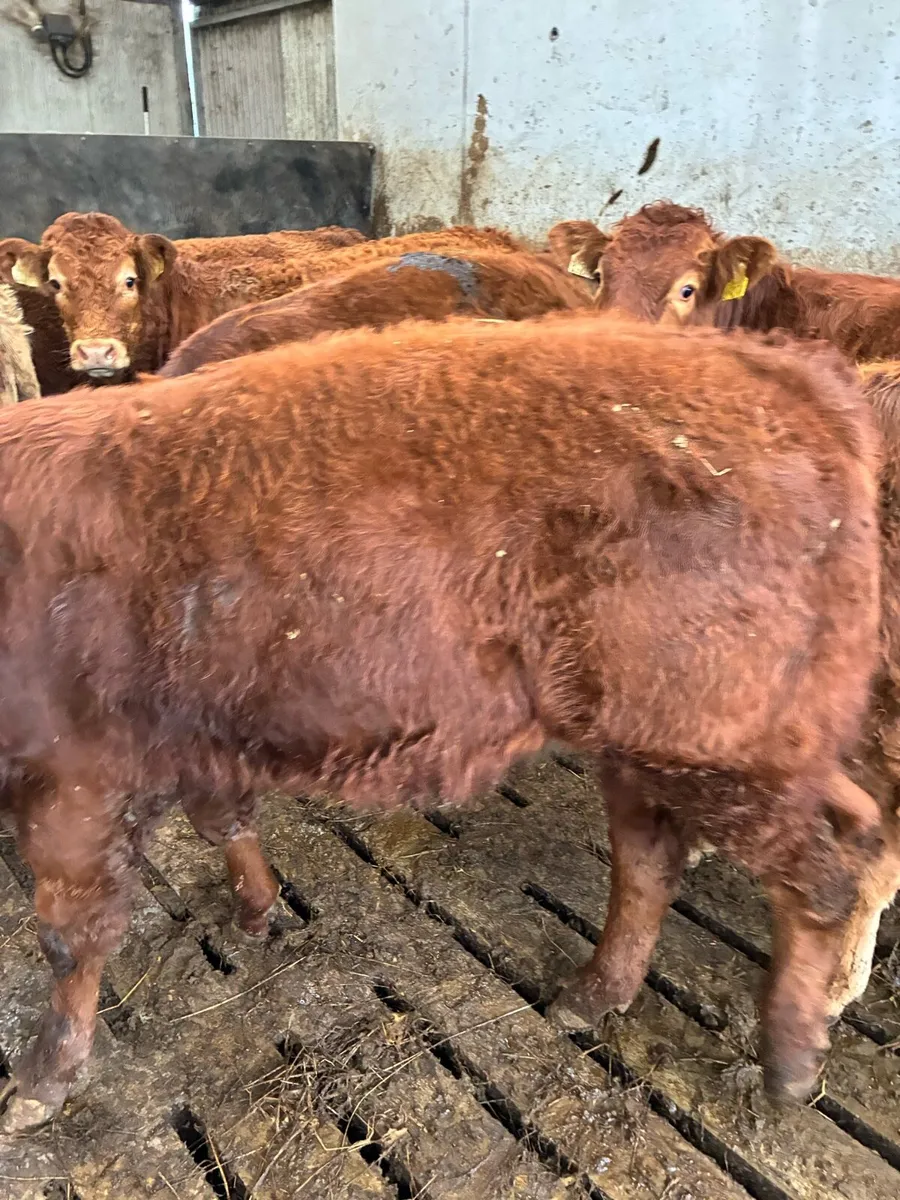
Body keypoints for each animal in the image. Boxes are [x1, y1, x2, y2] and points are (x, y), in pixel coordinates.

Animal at [0, 314, 883, 1131]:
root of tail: (791, 373)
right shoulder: (195, 741)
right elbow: (225, 821)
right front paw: (258, 910)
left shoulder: (78, 781)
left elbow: (70, 934)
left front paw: (41, 1082)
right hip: (668, 746)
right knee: (672, 859)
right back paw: (595, 994)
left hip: (722, 752)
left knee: (824, 875)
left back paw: (791, 1062)